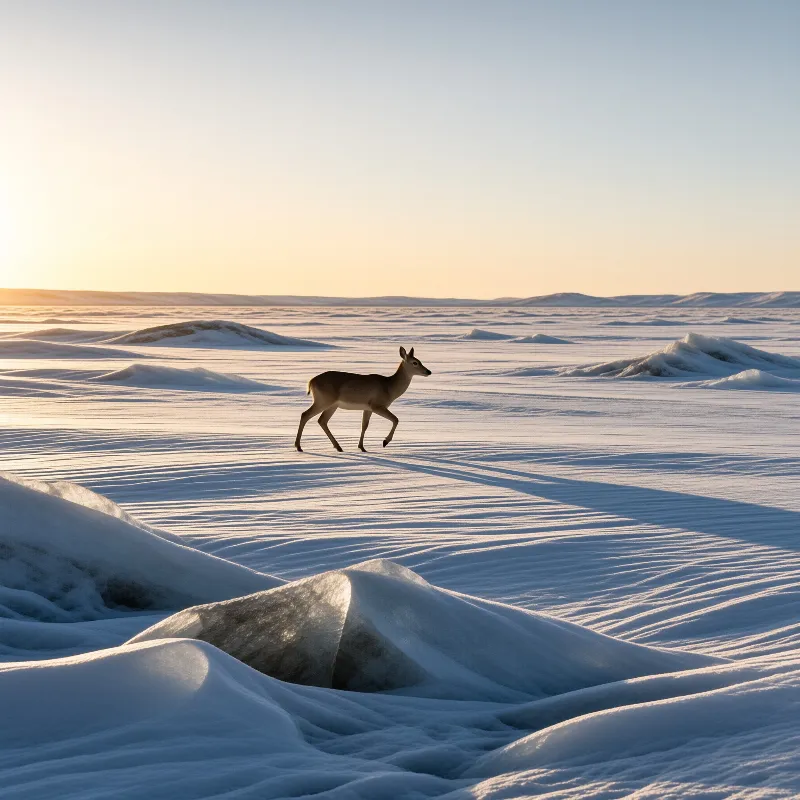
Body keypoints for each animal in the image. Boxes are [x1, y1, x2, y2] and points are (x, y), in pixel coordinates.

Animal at [295, 347, 432, 452]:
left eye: (420, 361)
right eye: (415, 362)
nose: (428, 371)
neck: (389, 387)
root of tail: (311, 381)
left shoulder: (368, 408)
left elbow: (364, 425)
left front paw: (361, 447)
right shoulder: (377, 405)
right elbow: (396, 419)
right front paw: (385, 441)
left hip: (332, 404)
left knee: (322, 420)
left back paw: (338, 447)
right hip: (323, 400)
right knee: (305, 414)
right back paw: (298, 446)